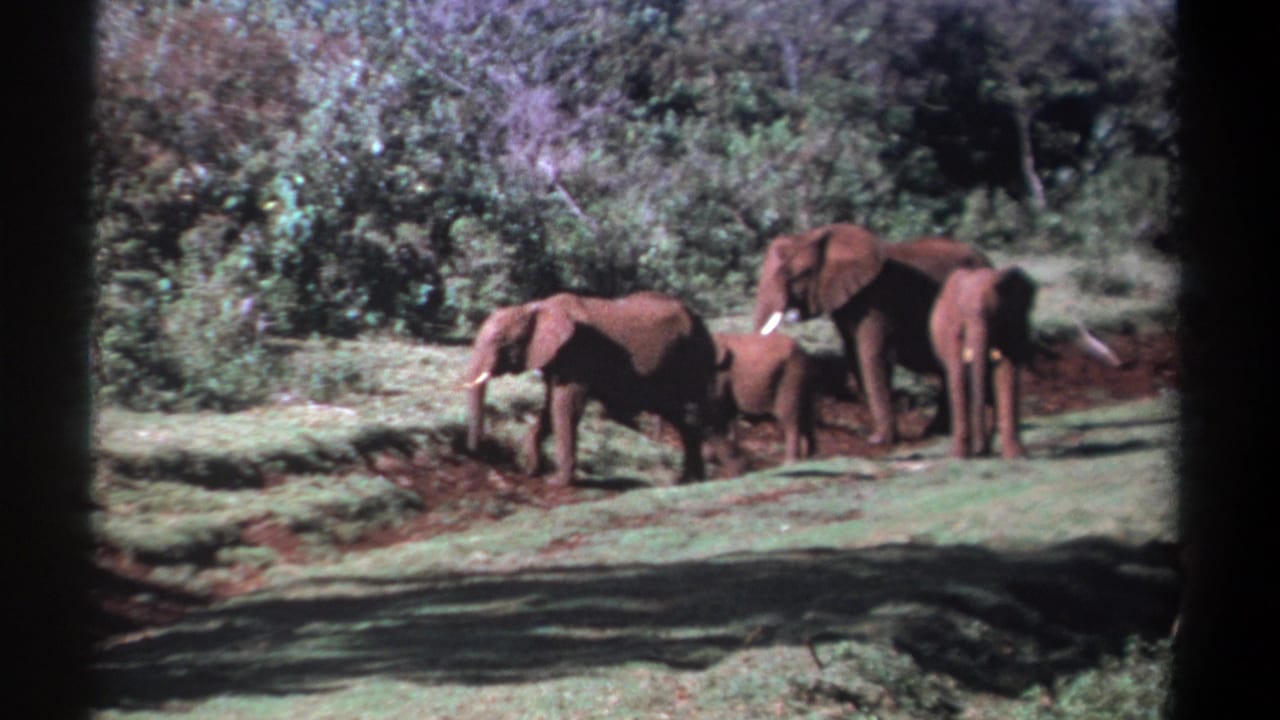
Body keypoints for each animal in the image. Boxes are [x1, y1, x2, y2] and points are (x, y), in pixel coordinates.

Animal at [464, 290, 718, 486]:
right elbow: (550, 405)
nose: (479, 453)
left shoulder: (577, 352)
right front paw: (532, 470)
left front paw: (556, 482)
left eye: (500, 340)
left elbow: (566, 406)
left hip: (693, 359)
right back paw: (689, 481)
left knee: (690, 414)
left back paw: (692, 480)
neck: (536, 307)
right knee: (681, 418)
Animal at [708, 332, 819, 465]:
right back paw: (810, 457)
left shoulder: (719, 374)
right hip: (802, 380)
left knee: (789, 417)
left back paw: (790, 462)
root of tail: (804, 351)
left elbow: (717, 409)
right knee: (806, 414)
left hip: (791, 375)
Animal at [753, 224, 991, 445]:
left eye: (794, 275)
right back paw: (937, 432)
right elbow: (855, 354)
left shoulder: (877, 298)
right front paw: (878, 436)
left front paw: (879, 440)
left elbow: (873, 354)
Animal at [928, 266, 1037, 459]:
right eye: (964, 317)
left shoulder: (1014, 323)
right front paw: (958, 457)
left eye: (994, 318)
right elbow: (959, 374)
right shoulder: (952, 331)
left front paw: (1016, 456)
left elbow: (1007, 372)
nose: (979, 451)